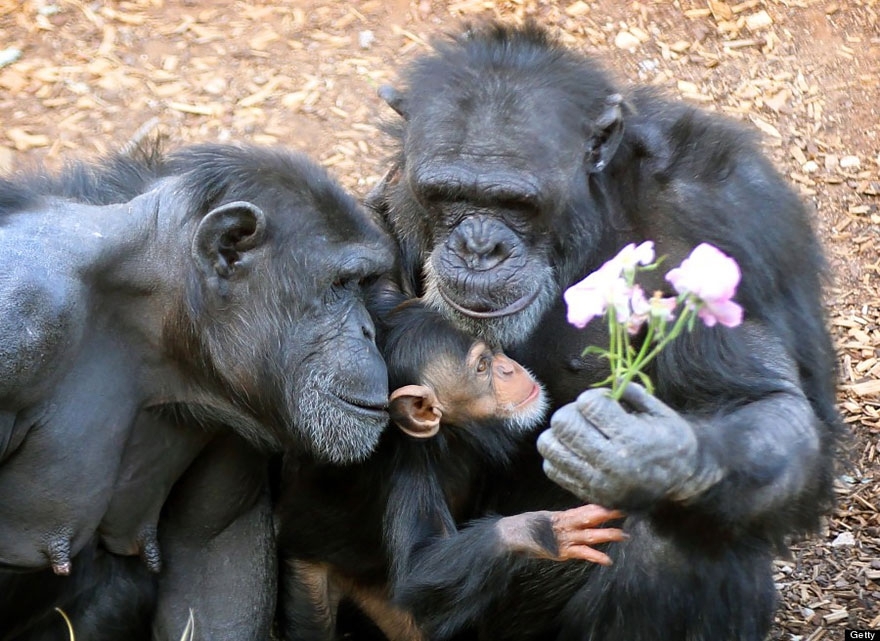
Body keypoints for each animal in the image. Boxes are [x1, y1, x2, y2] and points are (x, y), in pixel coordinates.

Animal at [0, 142, 392, 640]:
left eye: (365, 284)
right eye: (341, 284)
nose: (369, 330)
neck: (150, 306)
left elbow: (213, 557)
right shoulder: (20, 321)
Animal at [276, 290, 624, 640]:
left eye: (496, 350)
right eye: (482, 366)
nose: (508, 369)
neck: (448, 434)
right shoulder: (409, 470)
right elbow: (420, 566)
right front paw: (542, 531)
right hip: (311, 575)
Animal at [366, 20, 844, 640]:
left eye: (516, 203)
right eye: (448, 195)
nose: (478, 247)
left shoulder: (724, 217)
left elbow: (765, 400)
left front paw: (651, 456)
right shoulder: (393, 196)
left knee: (670, 546)